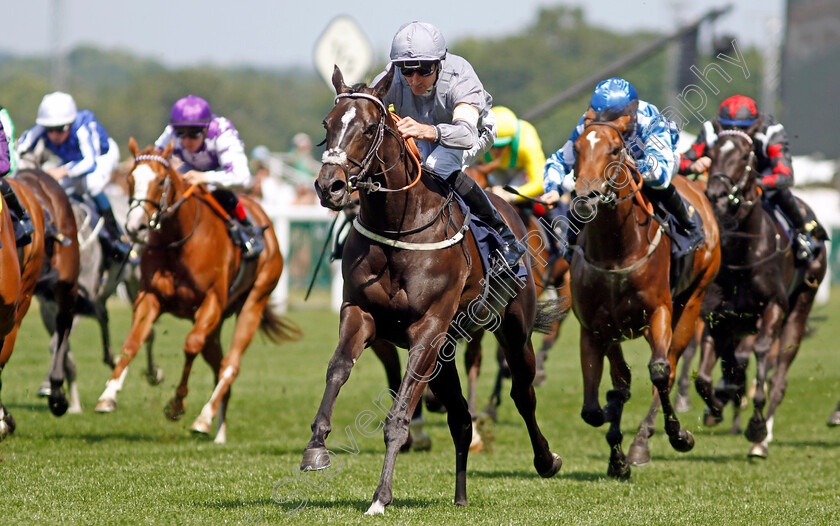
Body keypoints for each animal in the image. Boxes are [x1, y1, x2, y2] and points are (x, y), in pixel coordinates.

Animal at [93, 138, 302, 444]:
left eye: (160, 180)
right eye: (130, 179)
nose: (135, 227)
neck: (178, 242)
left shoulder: (211, 301)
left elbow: (190, 345)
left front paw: (176, 405)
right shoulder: (150, 297)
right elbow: (133, 340)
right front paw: (108, 395)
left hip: (254, 301)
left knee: (230, 365)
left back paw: (205, 418)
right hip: (215, 324)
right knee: (218, 364)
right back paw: (219, 430)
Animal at [306, 66, 560, 516]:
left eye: (369, 128)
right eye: (327, 124)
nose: (329, 186)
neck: (398, 228)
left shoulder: (427, 329)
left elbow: (399, 414)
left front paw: (380, 496)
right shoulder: (360, 313)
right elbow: (338, 368)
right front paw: (316, 447)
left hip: (512, 329)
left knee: (521, 392)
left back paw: (546, 460)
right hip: (446, 351)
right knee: (461, 418)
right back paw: (460, 495)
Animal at [572, 114, 720, 478]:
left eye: (614, 149)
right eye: (578, 148)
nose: (585, 196)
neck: (617, 250)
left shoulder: (658, 312)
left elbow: (658, 372)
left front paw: (678, 435)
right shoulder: (594, 328)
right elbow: (596, 405)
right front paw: (616, 457)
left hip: (691, 301)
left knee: (668, 366)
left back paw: (645, 440)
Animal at [692, 124, 824, 458]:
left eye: (743, 156)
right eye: (712, 152)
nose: (717, 195)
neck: (743, 251)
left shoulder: (773, 307)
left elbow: (763, 355)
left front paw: (755, 425)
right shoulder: (717, 316)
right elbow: (704, 378)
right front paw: (715, 406)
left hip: (799, 309)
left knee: (779, 378)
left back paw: (761, 440)